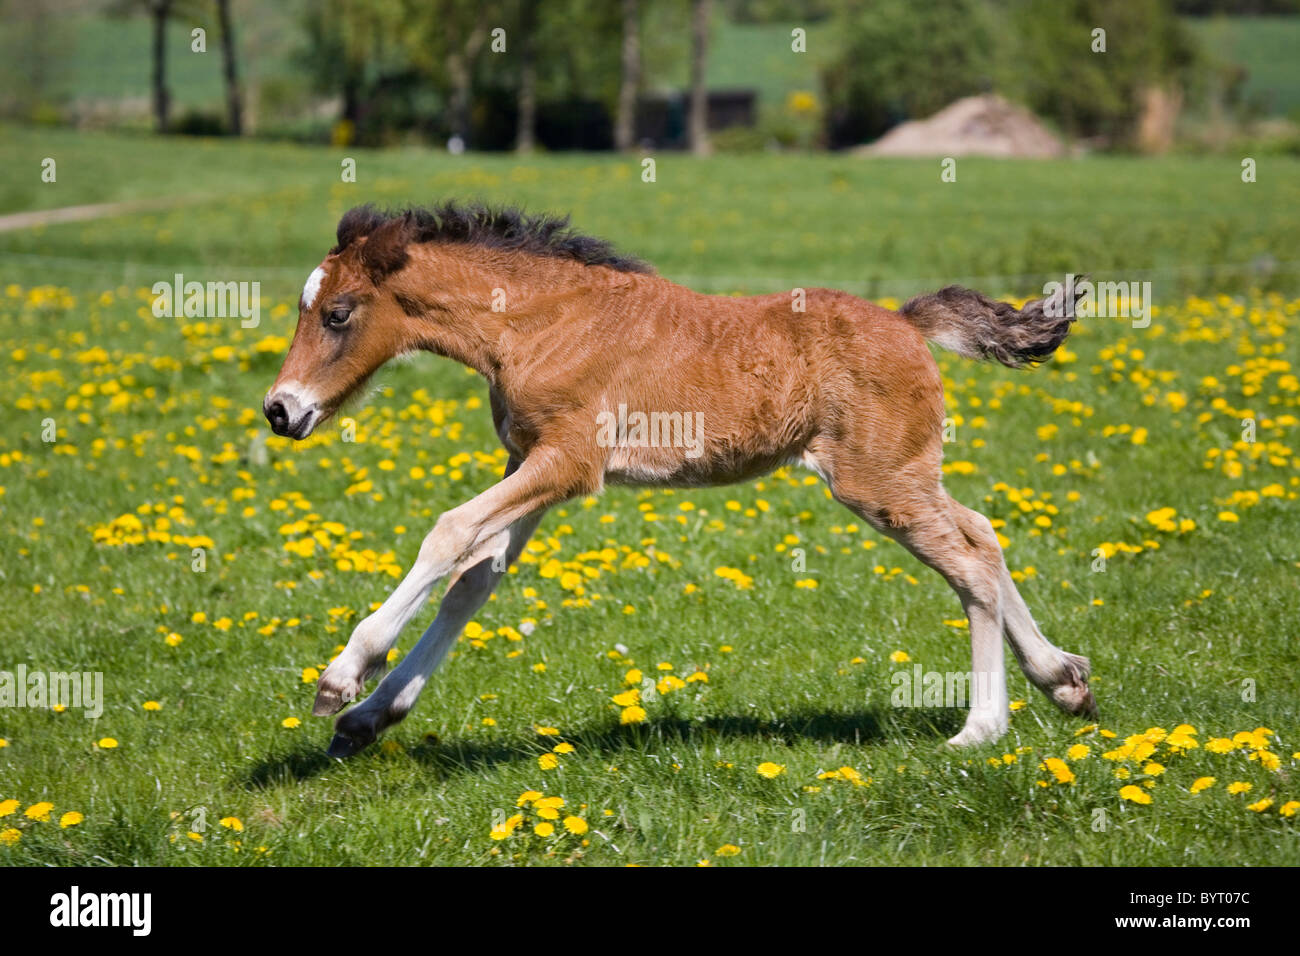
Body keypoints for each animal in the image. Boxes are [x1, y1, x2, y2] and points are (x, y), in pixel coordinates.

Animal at [263, 205, 1097, 759]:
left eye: (338, 313)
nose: (281, 410)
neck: (536, 323)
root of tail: (907, 322)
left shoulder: (569, 462)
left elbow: (448, 534)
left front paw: (342, 677)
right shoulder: (529, 461)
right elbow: (473, 579)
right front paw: (369, 717)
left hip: (878, 483)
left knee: (970, 566)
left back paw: (980, 728)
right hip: (903, 475)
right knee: (983, 536)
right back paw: (1063, 678)